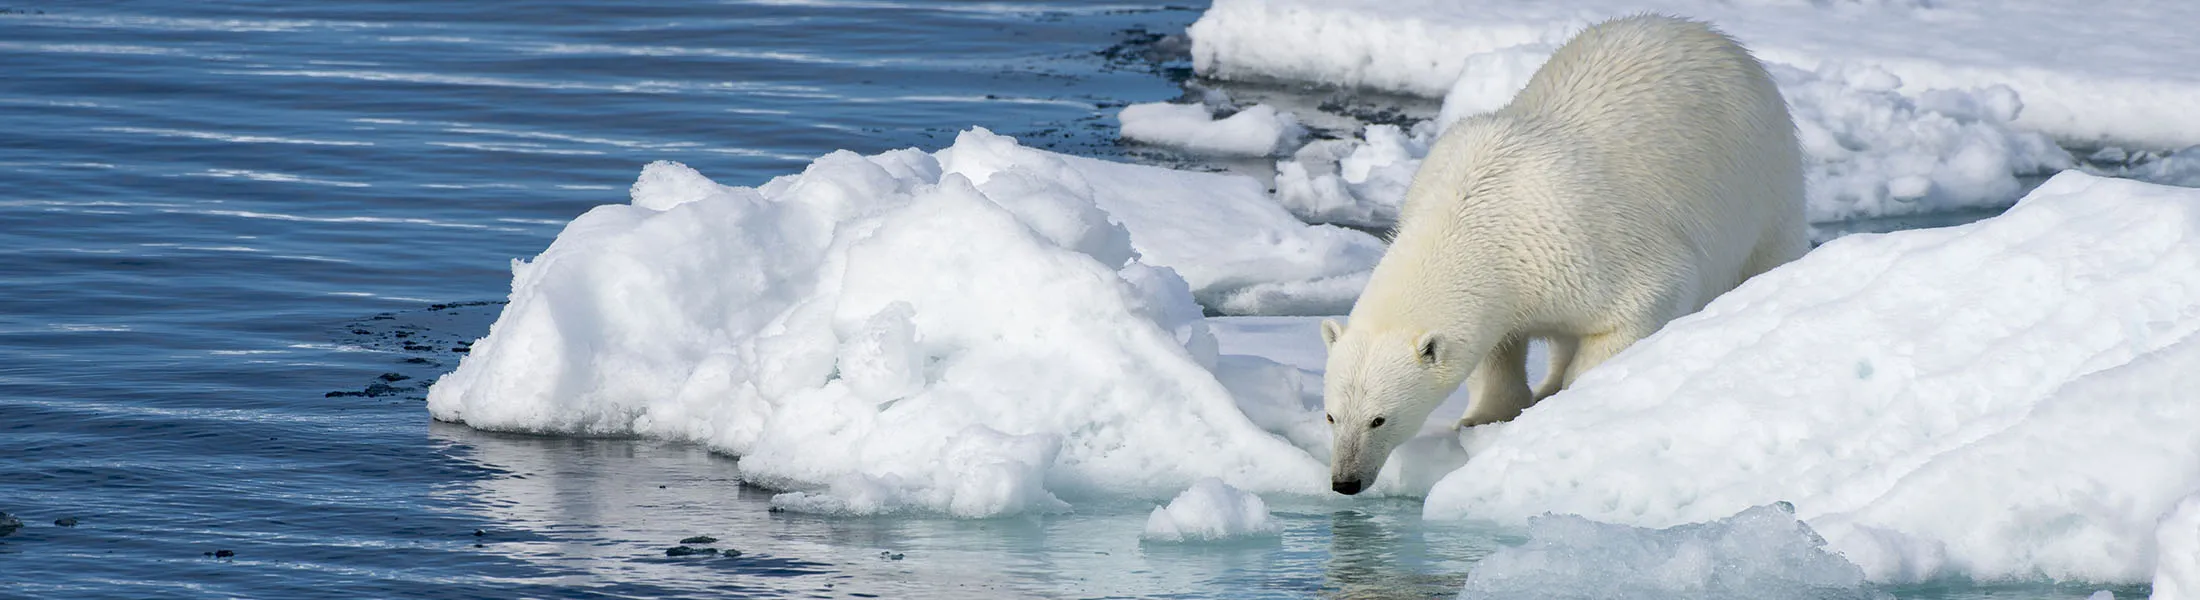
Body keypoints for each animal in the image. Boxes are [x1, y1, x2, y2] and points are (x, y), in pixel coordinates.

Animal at [1320, 14, 1807, 495]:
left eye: (1379, 419)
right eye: (1331, 416)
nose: (1345, 481)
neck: (1475, 215)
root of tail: (1714, 36)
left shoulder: (1583, 243)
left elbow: (1644, 303)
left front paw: (1568, 404)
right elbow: (1495, 348)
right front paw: (1482, 417)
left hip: (1763, 178)